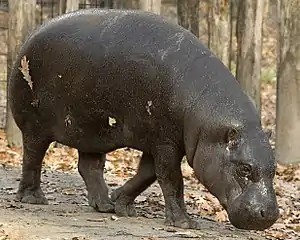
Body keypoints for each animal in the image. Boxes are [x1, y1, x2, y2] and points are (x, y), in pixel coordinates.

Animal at [8, 8, 278, 232]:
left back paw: (104, 205)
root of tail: (30, 37)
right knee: (32, 157)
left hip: (92, 130)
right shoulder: (165, 143)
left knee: (89, 166)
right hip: (36, 126)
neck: (208, 120)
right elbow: (171, 179)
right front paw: (185, 223)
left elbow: (147, 175)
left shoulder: (155, 141)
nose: (270, 215)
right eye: (244, 168)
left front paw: (121, 204)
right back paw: (34, 199)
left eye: (274, 168)